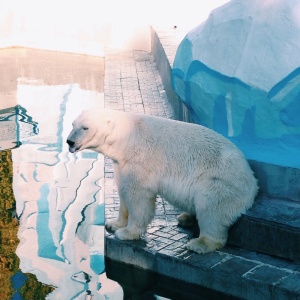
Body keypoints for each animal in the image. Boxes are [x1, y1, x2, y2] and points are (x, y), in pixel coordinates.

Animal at [67, 108, 258, 253]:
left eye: (85, 128)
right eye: (73, 124)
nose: (69, 141)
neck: (126, 138)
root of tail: (253, 183)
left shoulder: (140, 161)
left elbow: (138, 197)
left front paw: (127, 233)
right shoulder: (123, 163)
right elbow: (123, 190)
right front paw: (114, 224)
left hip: (220, 182)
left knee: (210, 208)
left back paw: (200, 243)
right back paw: (186, 217)